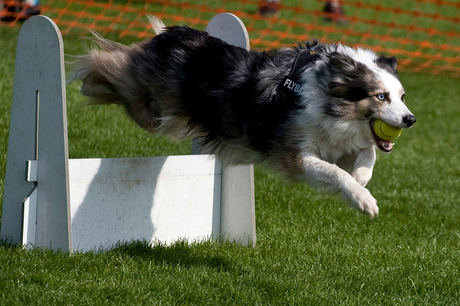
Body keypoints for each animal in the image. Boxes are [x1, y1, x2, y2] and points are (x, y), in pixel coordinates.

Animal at [72, 16, 416, 218]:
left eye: (402, 97)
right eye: (381, 97)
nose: (410, 120)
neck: (326, 95)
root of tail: (173, 33)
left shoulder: (339, 139)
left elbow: (367, 153)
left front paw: (361, 180)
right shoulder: (293, 154)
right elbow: (334, 172)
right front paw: (364, 200)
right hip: (149, 106)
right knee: (112, 61)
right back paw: (87, 79)